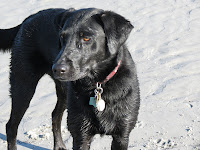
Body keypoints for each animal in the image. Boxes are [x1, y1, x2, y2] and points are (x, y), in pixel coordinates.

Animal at [0, 7, 140, 149]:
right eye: (62, 37)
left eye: (86, 38)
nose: (57, 68)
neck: (98, 83)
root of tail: (28, 18)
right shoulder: (81, 135)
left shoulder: (122, 136)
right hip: (23, 85)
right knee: (11, 126)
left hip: (62, 93)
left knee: (55, 115)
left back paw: (59, 146)